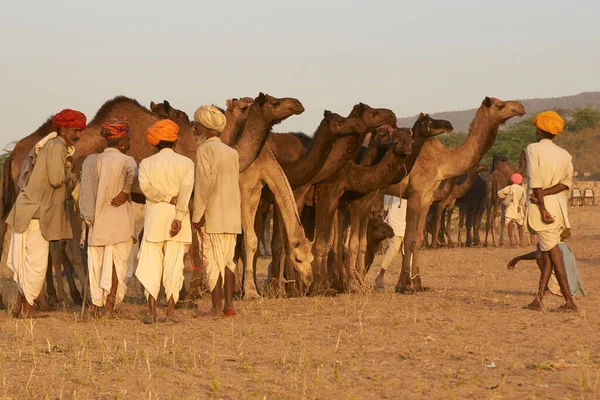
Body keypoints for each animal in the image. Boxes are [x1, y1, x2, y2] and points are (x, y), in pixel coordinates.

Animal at [390, 95, 524, 292]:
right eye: (500, 105)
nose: (520, 107)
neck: (443, 161)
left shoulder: (427, 197)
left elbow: (419, 238)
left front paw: (418, 284)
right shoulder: (415, 193)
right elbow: (409, 238)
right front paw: (404, 285)